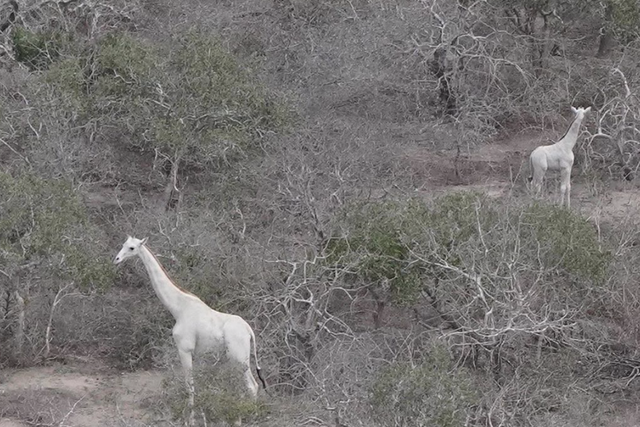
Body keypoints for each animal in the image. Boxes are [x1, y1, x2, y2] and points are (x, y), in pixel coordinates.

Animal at [114, 236, 266, 426]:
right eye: (123, 245)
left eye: (132, 248)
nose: (116, 260)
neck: (178, 308)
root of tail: (249, 331)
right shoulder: (196, 353)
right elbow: (195, 384)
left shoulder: (184, 349)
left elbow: (190, 387)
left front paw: (190, 421)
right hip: (235, 357)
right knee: (247, 386)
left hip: (239, 357)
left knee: (251, 386)